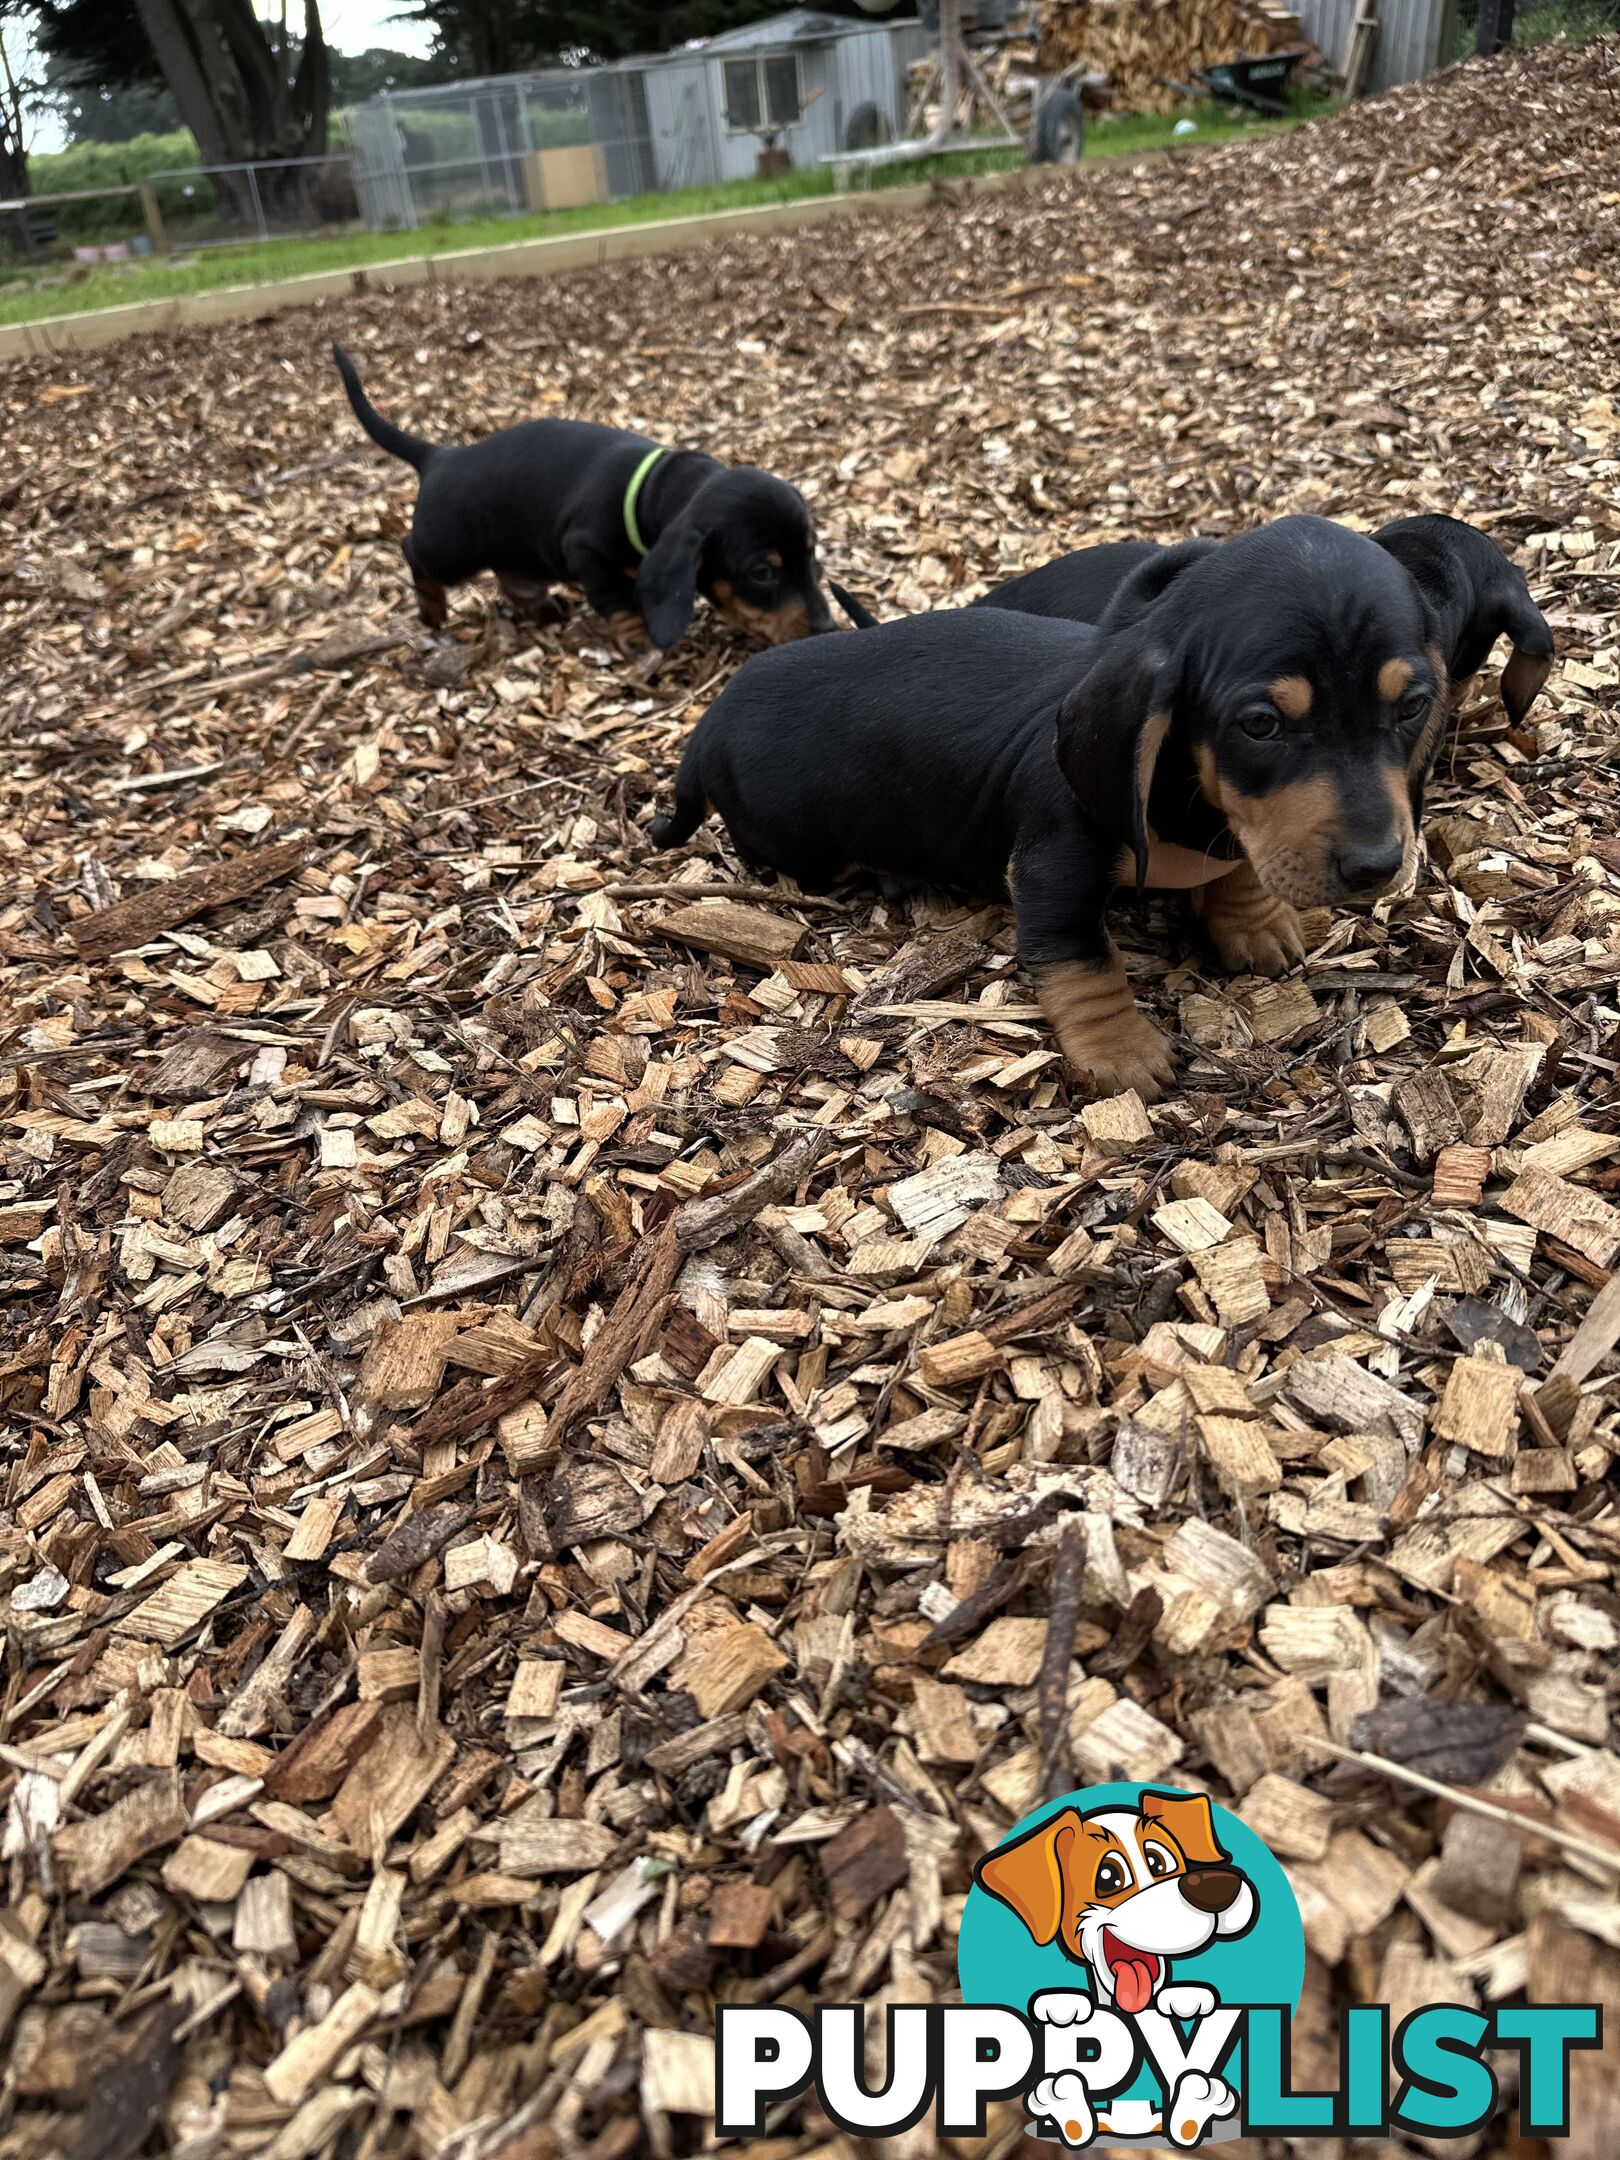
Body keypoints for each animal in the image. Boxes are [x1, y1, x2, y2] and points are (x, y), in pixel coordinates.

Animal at [330, 339, 838, 648]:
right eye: (761, 573)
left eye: (812, 552)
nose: (829, 629)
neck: (654, 491)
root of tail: (440, 457)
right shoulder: (586, 550)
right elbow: (616, 597)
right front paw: (638, 637)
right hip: (451, 550)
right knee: (412, 551)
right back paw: (432, 609)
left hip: (516, 552)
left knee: (511, 578)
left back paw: (541, 606)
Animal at [652, 518, 1451, 1097]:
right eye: (1260, 725)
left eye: (1413, 706)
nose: (1378, 867)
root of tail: (708, 725)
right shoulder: (1054, 868)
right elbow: (1084, 959)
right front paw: (1121, 1051)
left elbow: (1241, 867)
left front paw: (1253, 923)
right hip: (797, 844)